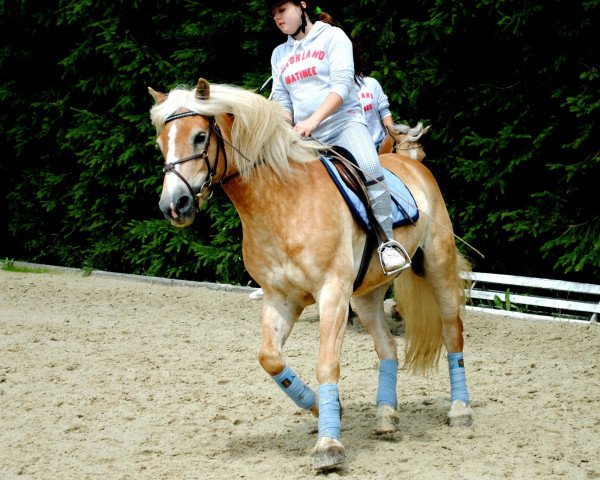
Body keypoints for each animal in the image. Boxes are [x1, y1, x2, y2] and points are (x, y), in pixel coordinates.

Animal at [149, 77, 474, 470]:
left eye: (199, 137)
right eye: (160, 143)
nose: (174, 205)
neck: (282, 202)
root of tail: (410, 167)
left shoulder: (331, 294)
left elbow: (326, 364)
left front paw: (329, 445)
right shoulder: (280, 299)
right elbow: (270, 358)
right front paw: (322, 408)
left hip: (438, 267)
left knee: (452, 332)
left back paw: (460, 411)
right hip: (366, 296)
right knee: (388, 347)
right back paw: (386, 417)